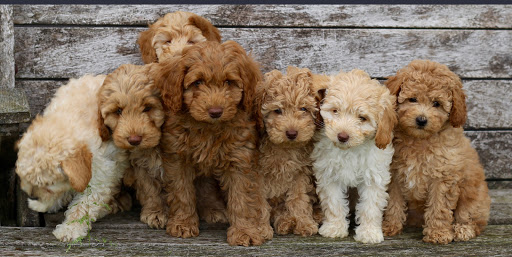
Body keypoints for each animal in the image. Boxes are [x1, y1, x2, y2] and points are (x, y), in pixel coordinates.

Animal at [153, 40, 274, 246]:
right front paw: (183, 224)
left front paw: (244, 231)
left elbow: (242, 198)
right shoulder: (177, 157)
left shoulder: (240, 158)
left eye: (228, 82)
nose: (215, 111)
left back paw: (214, 210)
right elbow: (181, 192)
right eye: (198, 82)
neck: (209, 129)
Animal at [256, 66, 320, 236]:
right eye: (277, 110)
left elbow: (298, 198)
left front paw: (303, 222)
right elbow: (258, 202)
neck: (284, 148)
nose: (292, 133)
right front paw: (259, 229)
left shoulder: (300, 172)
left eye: (303, 109)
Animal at [382, 59, 490, 243]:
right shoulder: (394, 175)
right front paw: (389, 226)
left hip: (474, 195)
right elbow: (393, 203)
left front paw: (438, 233)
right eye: (412, 99)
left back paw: (463, 229)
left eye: (436, 103)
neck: (419, 140)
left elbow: (439, 206)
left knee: (472, 217)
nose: (421, 120)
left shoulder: (444, 176)